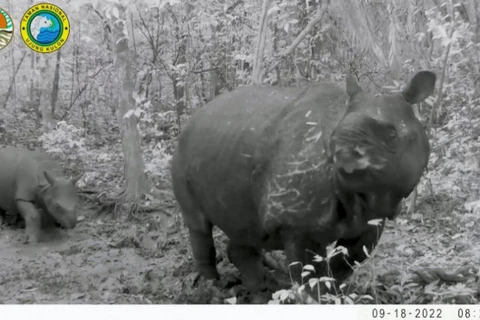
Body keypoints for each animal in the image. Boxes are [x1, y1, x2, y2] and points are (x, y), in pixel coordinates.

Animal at [171, 71, 436, 296]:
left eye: (392, 136)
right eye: (333, 136)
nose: (342, 149)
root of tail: (195, 116)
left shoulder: (374, 217)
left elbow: (347, 261)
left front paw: (334, 293)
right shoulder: (294, 223)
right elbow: (308, 272)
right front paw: (318, 298)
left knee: (244, 226)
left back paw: (258, 291)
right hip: (182, 152)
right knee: (198, 224)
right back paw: (213, 287)